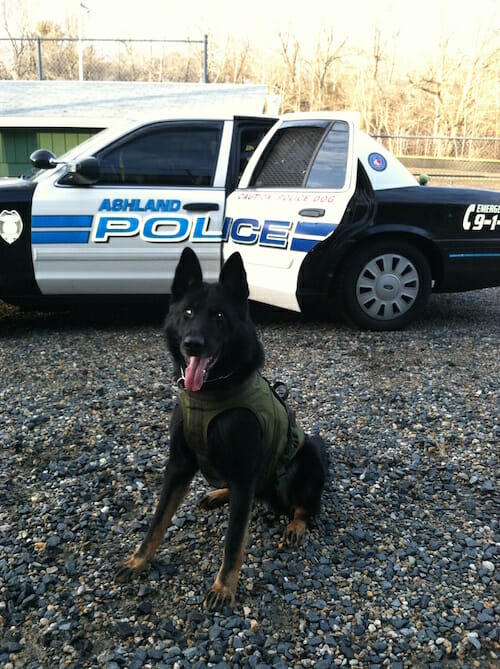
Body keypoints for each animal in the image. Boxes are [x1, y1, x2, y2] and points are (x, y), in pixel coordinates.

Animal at [116, 247, 328, 612]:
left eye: (218, 316)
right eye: (187, 313)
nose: (192, 344)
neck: (212, 393)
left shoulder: (243, 472)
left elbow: (233, 540)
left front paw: (224, 587)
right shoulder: (179, 465)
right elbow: (158, 519)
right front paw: (138, 560)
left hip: (307, 455)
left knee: (305, 506)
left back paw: (296, 525)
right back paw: (218, 494)